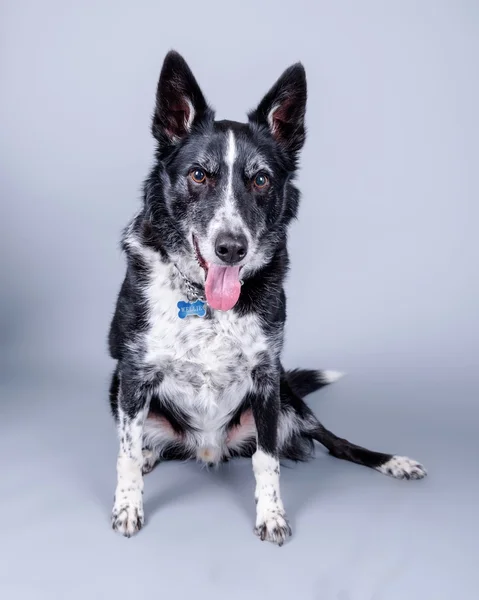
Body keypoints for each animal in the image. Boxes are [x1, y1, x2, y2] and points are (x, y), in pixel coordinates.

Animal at [108, 51, 428, 548]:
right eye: (198, 175)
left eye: (260, 180)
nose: (231, 248)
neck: (206, 302)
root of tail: (209, 450)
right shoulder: (134, 371)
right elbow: (124, 453)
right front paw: (128, 505)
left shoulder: (265, 376)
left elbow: (267, 459)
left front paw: (272, 516)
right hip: (116, 386)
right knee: (148, 441)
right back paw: (148, 454)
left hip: (289, 397)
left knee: (335, 443)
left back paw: (393, 461)